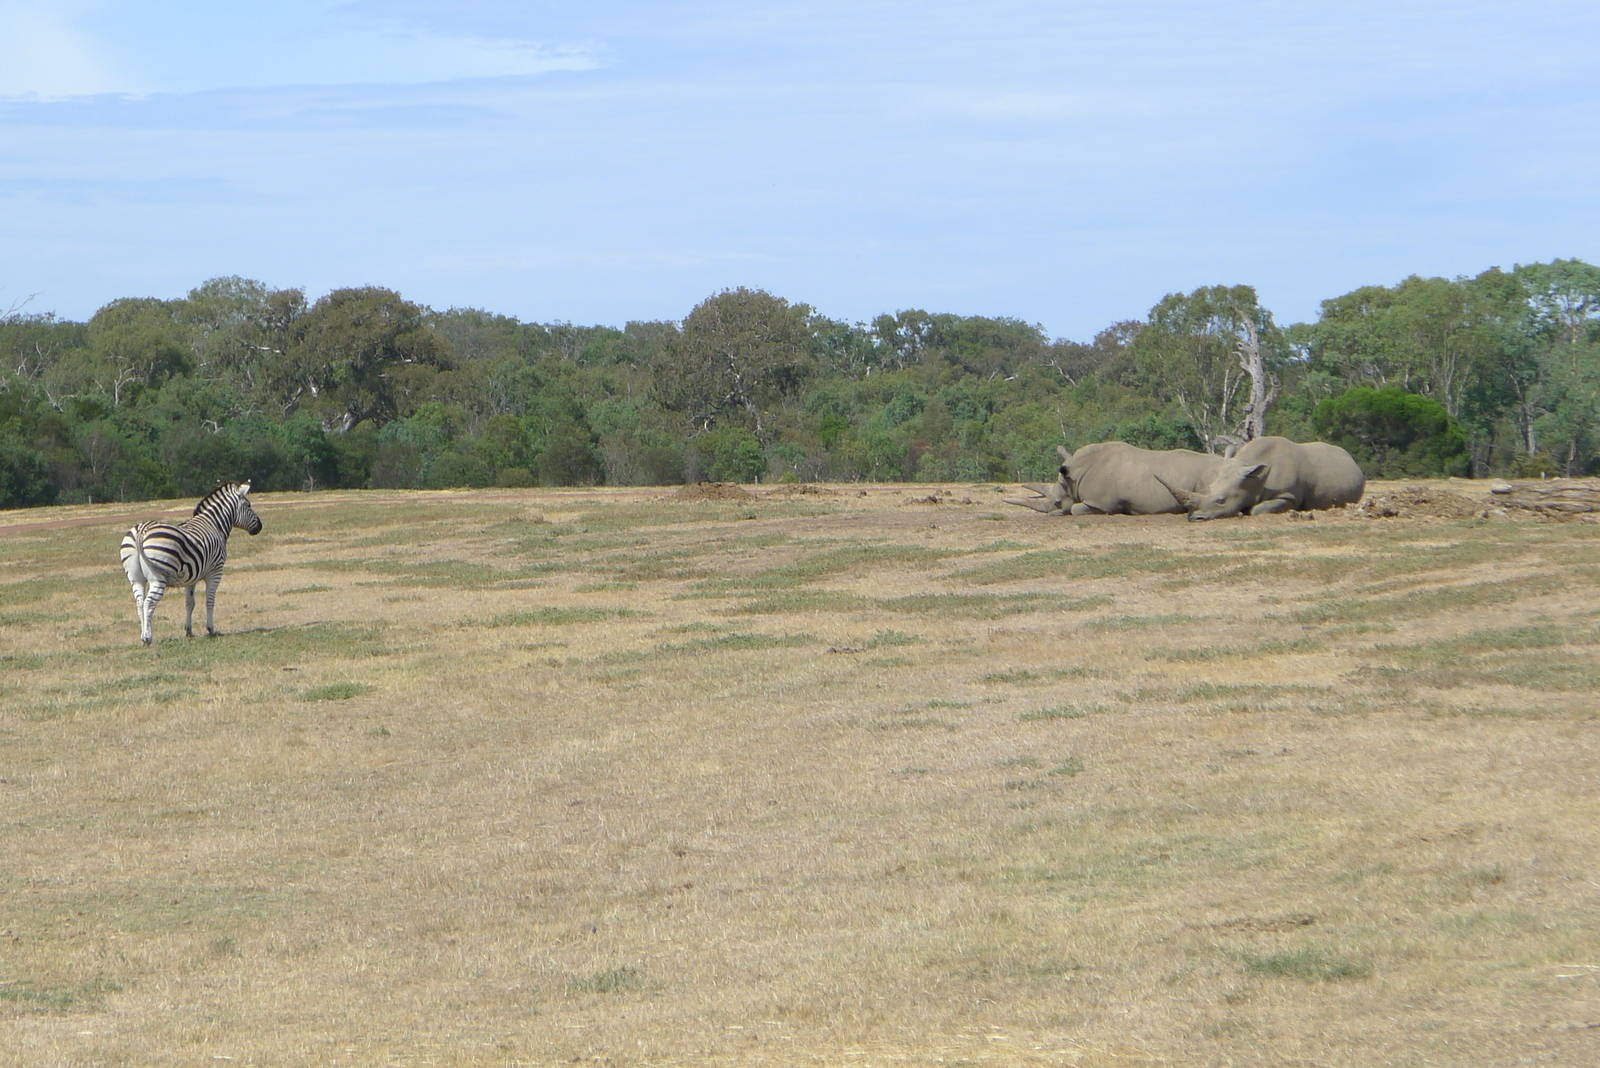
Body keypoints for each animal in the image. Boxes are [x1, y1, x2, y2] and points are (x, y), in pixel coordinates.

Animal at [120, 480, 264, 646]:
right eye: (248, 505)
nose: (260, 526)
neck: (214, 524)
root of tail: (141, 531)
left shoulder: (191, 576)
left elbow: (189, 603)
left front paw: (188, 631)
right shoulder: (215, 571)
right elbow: (210, 600)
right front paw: (211, 629)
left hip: (136, 578)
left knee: (139, 603)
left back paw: (143, 636)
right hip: (158, 577)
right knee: (148, 603)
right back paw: (147, 638)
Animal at [1157, 436, 1365, 520]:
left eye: (1221, 501)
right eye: (1207, 488)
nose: (1195, 518)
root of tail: (1351, 459)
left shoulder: (1288, 495)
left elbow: (1257, 509)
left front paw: (1245, 511)